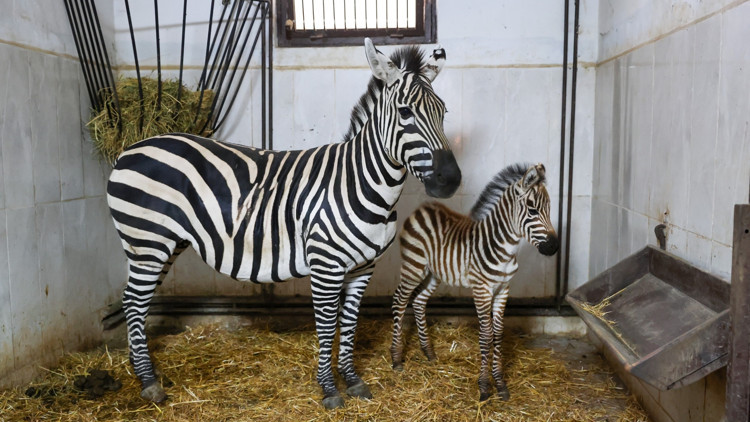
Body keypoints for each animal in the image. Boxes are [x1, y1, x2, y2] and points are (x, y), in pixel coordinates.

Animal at [106, 38, 461, 409]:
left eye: (443, 112)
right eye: (405, 113)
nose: (450, 180)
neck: (362, 181)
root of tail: (130, 148)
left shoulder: (364, 267)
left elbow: (349, 323)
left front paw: (352, 380)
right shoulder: (326, 265)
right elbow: (327, 325)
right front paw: (329, 389)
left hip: (163, 244)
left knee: (135, 300)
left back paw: (139, 368)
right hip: (148, 241)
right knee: (134, 302)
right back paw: (149, 382)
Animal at [390, 163, 558, 402]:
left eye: (549, 209)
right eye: (533, 210)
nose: (554, 247)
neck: (504, 248)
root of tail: (422, 208)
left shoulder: (503, 289)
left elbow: (498, 333)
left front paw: (500, 384)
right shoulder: (482, 289)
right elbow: (486, 335)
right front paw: (485, 386)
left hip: (434, 274)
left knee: (419, 301)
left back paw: (428, 352)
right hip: (414, 267)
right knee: (400, 301)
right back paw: (396, 359)